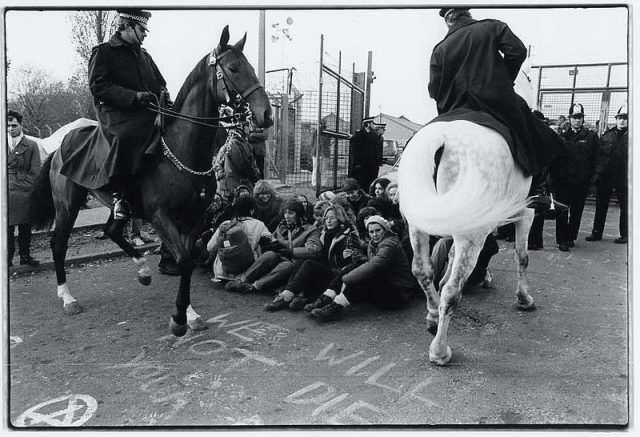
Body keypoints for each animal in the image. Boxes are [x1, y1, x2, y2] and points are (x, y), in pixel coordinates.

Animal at [29, 26, 272, 334]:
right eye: (233, 68)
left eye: (251, 67)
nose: (266, 114)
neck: (180, 152)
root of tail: (61, 145)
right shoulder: (160, 217)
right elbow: (183, 260)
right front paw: (179, 319)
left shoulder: (191, 219)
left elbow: (187, 260)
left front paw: (188, 313)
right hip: (67, 206)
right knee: (59, 245)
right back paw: (67, 297)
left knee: (112, 230)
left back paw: (142, 269)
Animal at [400, 118, 536, 364]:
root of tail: (444, 137)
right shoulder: (525, 212)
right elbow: (522, 256)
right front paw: (524, 298)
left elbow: (451, 255)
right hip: (472, 229)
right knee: (452, 291)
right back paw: (440, 351)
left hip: (422, 222)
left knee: (422, 271)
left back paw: (433, 316)